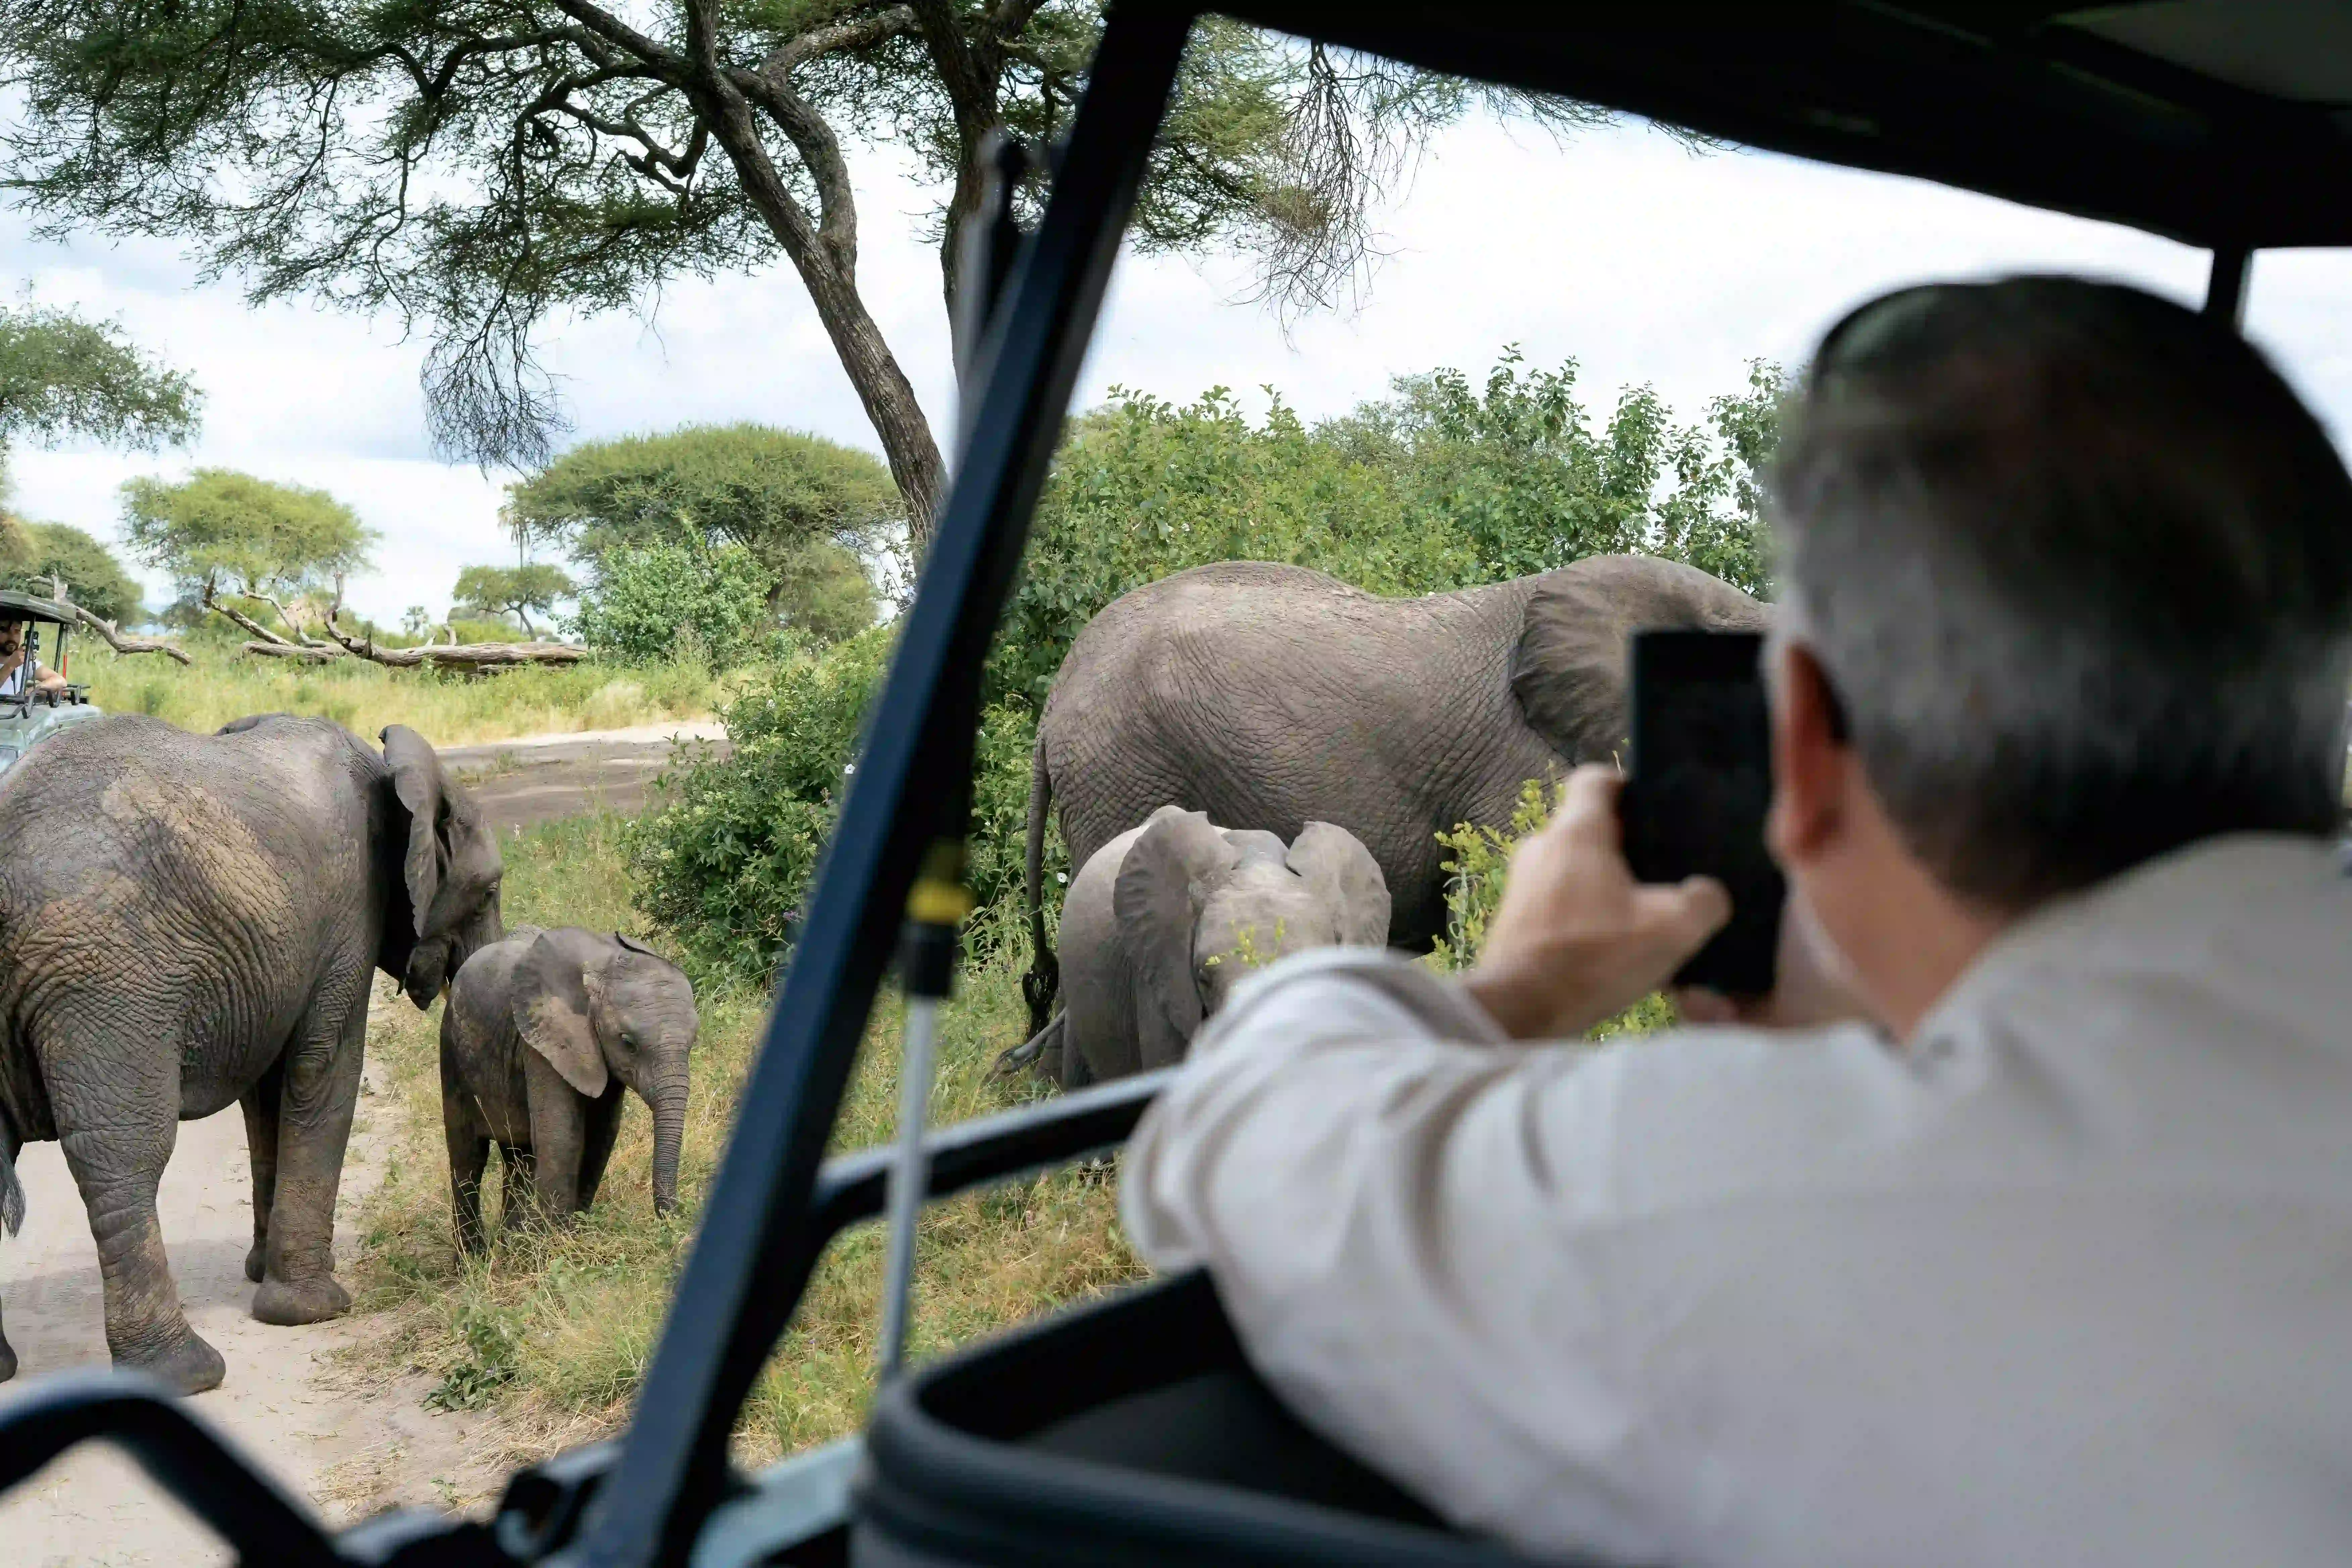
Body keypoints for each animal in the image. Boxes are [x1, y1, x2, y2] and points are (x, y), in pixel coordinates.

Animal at [0, 714, 503, 1394]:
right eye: (491, 890)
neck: (392, 770)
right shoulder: (349, 910)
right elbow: (323, 1070)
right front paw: (314, 1310)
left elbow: (266, 1097)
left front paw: (264, 1273)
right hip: (102, 983)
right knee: (126, 1156)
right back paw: (188, 1372)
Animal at [439, 925, 697, 1250]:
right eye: (628, 1044)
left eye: (693, 1042)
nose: (676, 1226)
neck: (602, 963)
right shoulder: (541, 1043)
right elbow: (562, 1136)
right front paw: (561, 1247)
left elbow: (601, 1134)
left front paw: (573, 1235)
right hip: (451, 1051)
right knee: (468, 1158)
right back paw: (474, 1258)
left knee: (519, 1157)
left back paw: (514, 1248)